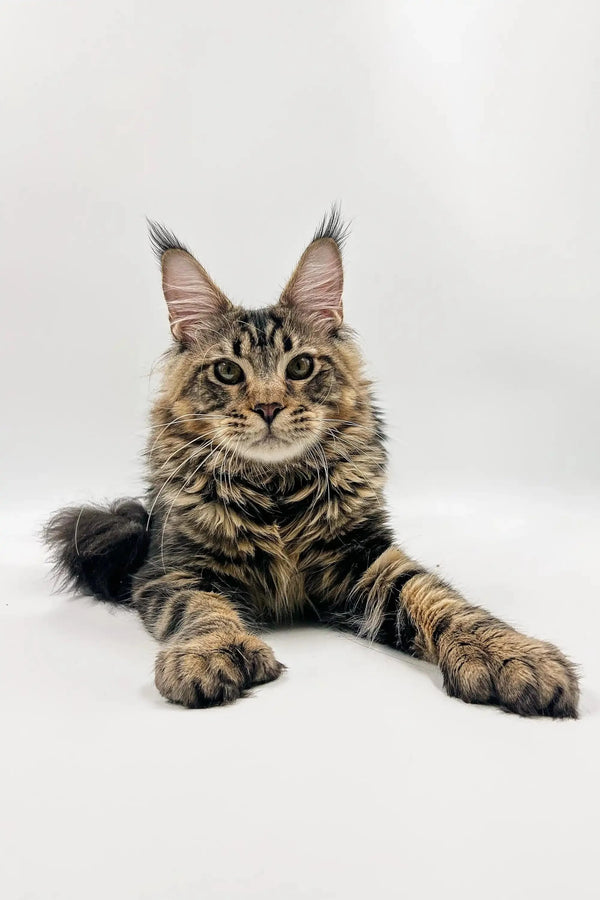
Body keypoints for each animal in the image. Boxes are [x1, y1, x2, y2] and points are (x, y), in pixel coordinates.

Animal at [44, 209, 580, 716]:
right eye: (227, 371)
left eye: (300, 366)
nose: (267, 407)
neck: (275, 490)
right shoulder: (173, 570)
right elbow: (202, 609)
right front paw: (212, 653)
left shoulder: (365, 557)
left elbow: (440, 598)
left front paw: (511, 655)